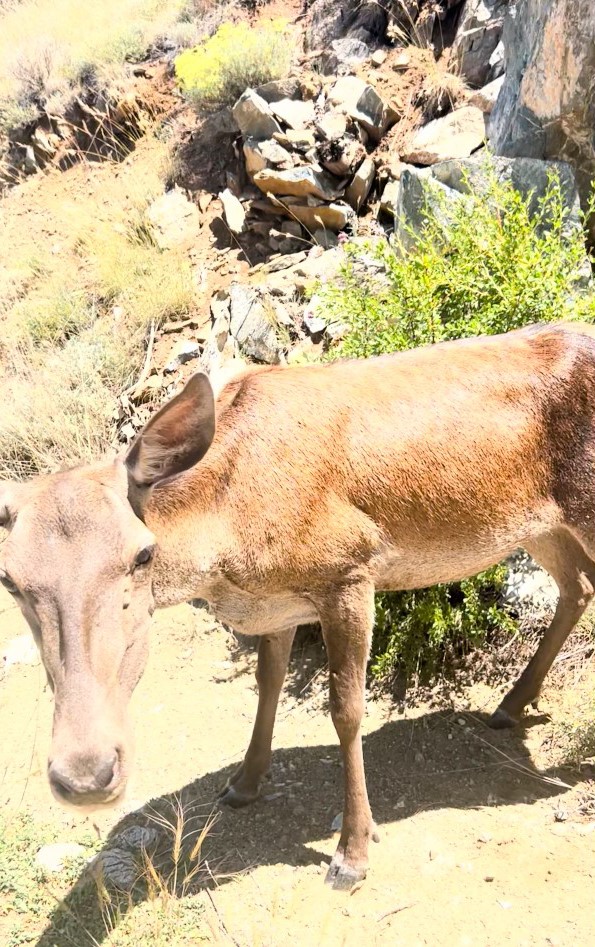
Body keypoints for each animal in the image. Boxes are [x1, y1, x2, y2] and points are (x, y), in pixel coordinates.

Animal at [1, 324, 595, 888]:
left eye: (143, 553)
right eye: (10, 579)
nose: (86, 774)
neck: (229, 541)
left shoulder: (349, 568)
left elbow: (346, 709)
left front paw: (351, 855)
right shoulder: (276, 605)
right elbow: (268, 684)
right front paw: (242, 784)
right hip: (539, 526)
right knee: (579, 586)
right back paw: (510, 704)